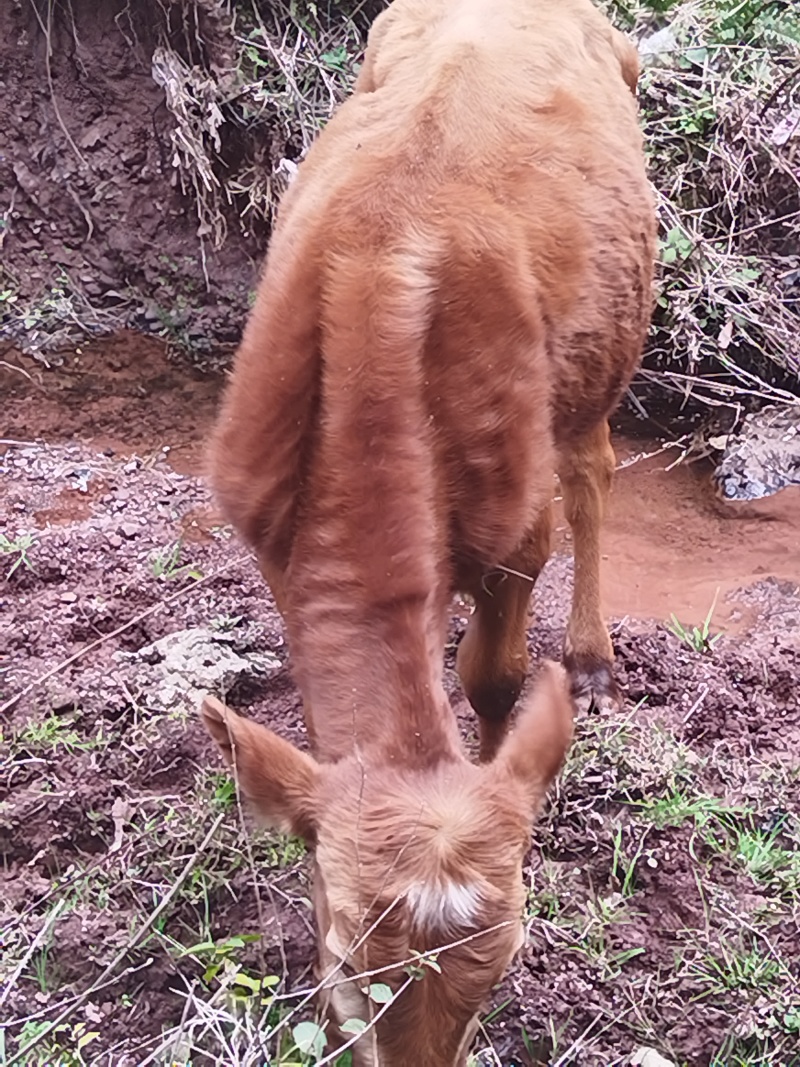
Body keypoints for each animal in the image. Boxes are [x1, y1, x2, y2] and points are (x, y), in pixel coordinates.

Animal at [201, 0, 657, 1054]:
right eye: (345, 964)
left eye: (500, 972)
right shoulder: (275, 545)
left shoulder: (517, 533)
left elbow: (492, 675)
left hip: (596, 366)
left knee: (592, 470)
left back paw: (591, 655)